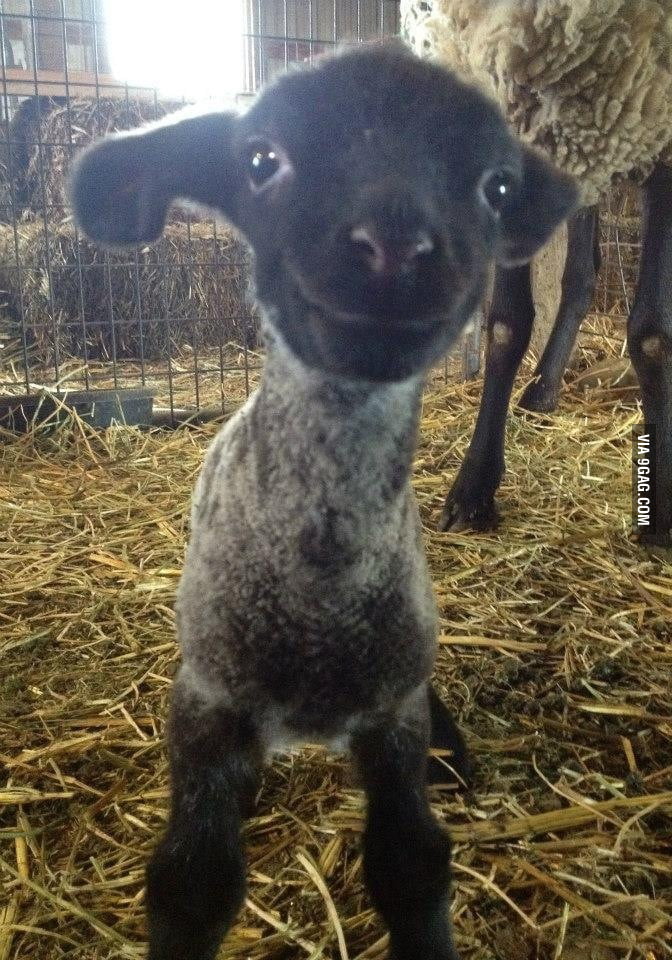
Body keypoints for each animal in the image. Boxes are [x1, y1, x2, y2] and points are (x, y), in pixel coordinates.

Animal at [70, 41, 575, 960]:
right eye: (259, 160)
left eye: (496, 186)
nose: (397, 249)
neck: (319, 591)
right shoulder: (208, 705)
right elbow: (190, 886)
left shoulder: (390, 713)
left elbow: (414, 866)